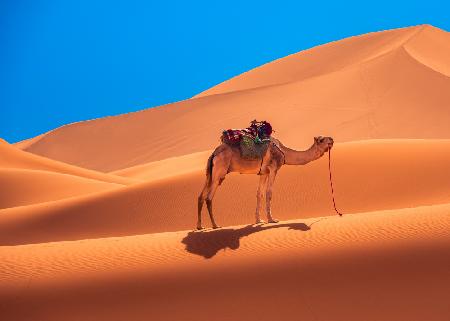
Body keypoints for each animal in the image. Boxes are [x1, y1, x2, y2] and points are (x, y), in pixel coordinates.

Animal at [197, 134, 334, 229]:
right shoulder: (273, 168)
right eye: (322, 140)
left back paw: (200, 226)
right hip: (219, 172)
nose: (331, 139)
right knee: (209, 197)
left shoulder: (263, 173)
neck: (284, 152)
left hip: (209, 173)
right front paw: (271, 219)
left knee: (201, 196)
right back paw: (215, 225)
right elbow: (269, 193)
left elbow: (259, 194)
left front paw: (259, 220)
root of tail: (214, 153)